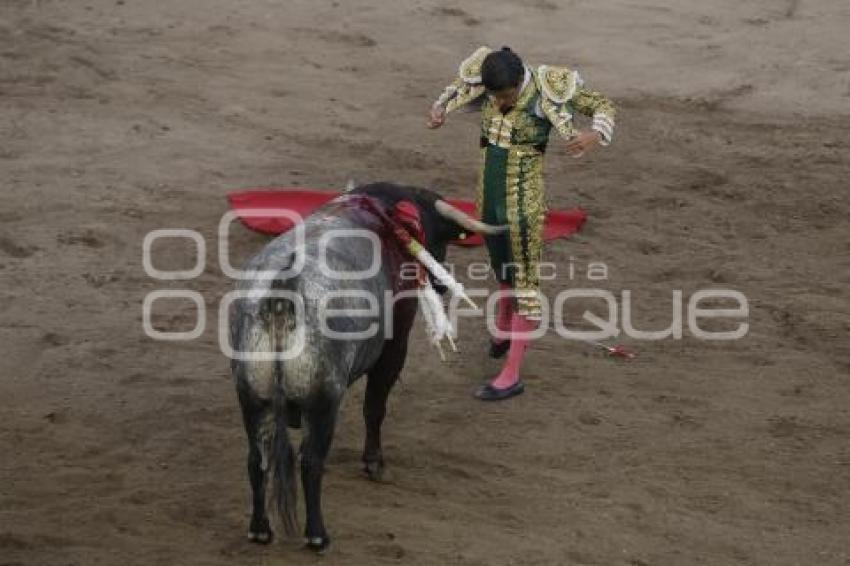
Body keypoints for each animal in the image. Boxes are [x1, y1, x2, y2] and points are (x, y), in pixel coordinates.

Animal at [229, 183, 500, 556]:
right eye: (434, 234)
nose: (442, 283)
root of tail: (281, 292)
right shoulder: (395, 343)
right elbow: (375, 407)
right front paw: (374, 463)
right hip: (324, 402)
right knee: (310, 462)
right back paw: (317, 535)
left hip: (251, 397)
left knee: (257, 459)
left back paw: (259, 530)